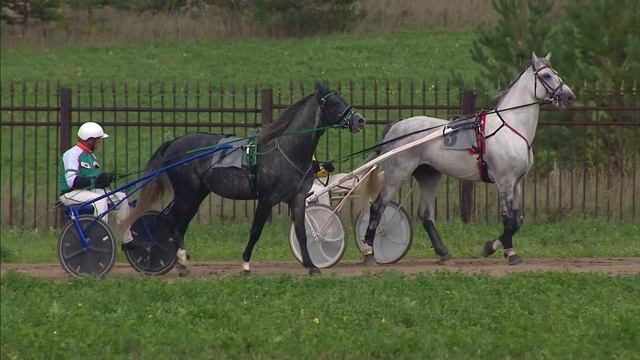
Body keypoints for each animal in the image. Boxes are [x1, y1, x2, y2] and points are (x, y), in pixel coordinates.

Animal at [124, 83, 364, 274]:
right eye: (332, 102)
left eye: (341, 98)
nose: (360, 120)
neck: (287, 149)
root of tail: (174, 142)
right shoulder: (267, 199)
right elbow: (256, 231)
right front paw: (246, 264)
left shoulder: (297, 199)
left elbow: (302, 233)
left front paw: (312, 266)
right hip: (187, 193)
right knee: (171, 221)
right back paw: (171, 257)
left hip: (197, 193)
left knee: (177, 222)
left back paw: (180, 262)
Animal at [360, 52, 576, 264]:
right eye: (546, 75)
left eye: (556, 73)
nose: (569, 96)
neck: (510, 126)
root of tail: (395, 128)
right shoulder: (504, 181)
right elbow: (508, 220)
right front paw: (503, 251)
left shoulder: (517, 182)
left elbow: (518, 220)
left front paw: (497, 247)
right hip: (397, 173)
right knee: (378, 207)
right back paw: (369, 251)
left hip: (429, 175)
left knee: (426, 215)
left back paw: (443, 253)